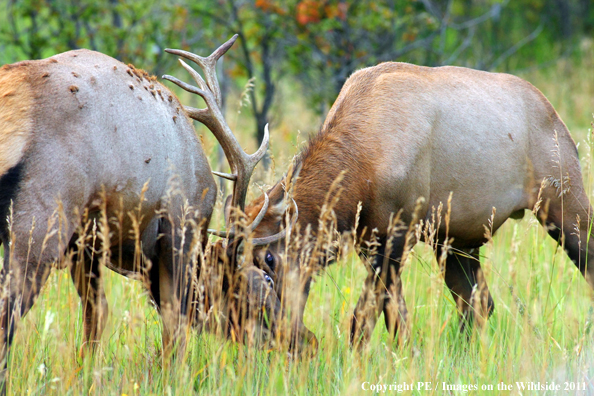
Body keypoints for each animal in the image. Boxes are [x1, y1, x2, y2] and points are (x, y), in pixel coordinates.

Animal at [207, 62, 592, 350]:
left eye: (269, 259)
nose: (288, 335)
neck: (359, 172)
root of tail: (561, 123)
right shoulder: (370, 241)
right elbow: (398, 321)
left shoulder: (396, 236)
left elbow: (362, 320)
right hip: (456, 239)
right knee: (478, 303)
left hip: (566, 207)